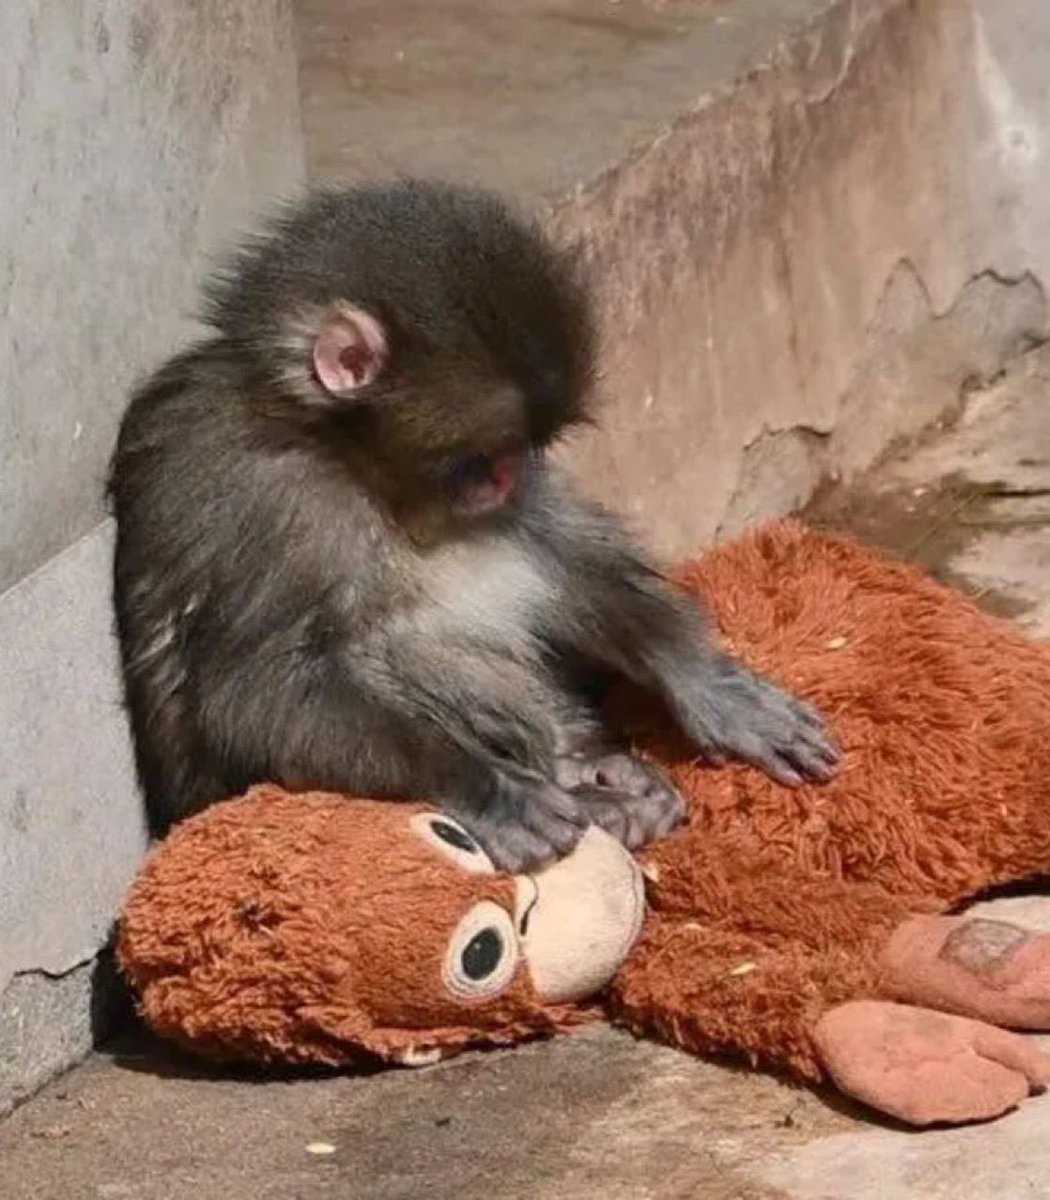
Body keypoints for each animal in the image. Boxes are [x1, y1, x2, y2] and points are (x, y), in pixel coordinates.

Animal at [107, 179, 839, 871]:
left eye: (522, 451)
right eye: (478, 460)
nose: (507, 480)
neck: (341, 453)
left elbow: (552, 541)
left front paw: (704, 678)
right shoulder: (263, 496)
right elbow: (254, 688)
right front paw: (488, 788)